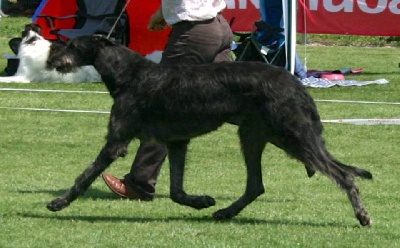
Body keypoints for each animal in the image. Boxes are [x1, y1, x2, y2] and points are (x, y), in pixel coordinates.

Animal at [44, 35, 372, 227]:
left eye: (72, 45)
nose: (50, 59)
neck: (129, 74)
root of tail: (295, 83)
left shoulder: (117, 141)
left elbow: (85, 176)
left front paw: (59, 202)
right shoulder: (177, 141)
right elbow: (176, 191)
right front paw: (200, 201)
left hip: (292, 135)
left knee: (344, 175)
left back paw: (362, 215)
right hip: (256, 136)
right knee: (256, 185)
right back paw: (225, 212)